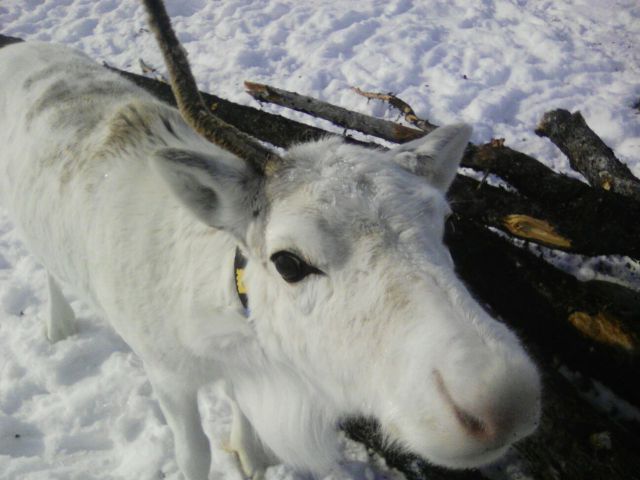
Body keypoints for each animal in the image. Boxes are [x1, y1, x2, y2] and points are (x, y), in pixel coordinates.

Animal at [0, 1, 541, 478]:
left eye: (443, 221)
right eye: (288, 263)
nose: (503, 404)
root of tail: (18, 49)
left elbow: (246, 427)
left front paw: (250, 456)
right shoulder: (167, 375)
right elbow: (194, 456)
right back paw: (58, 324)